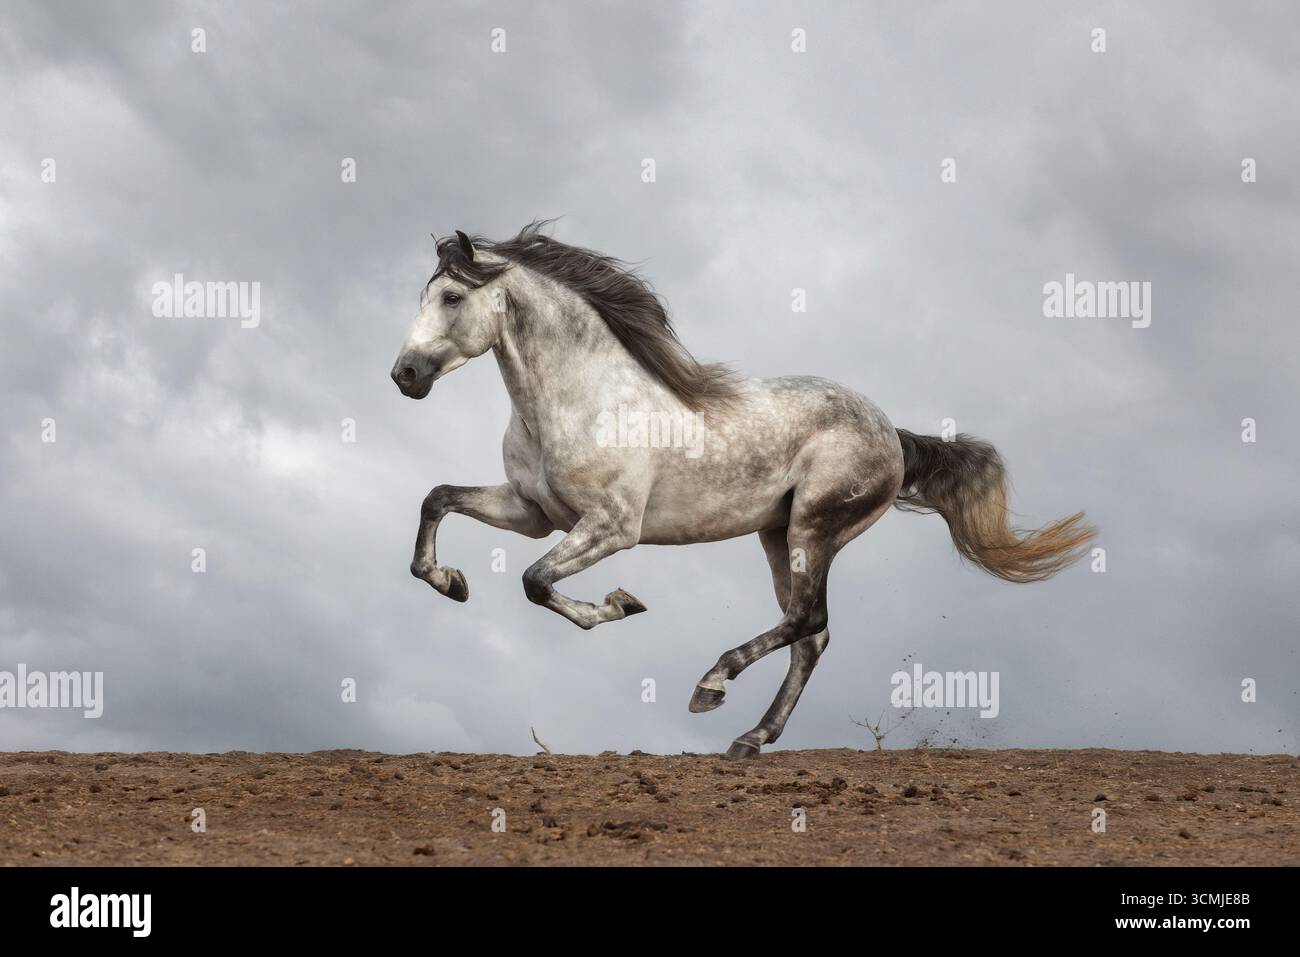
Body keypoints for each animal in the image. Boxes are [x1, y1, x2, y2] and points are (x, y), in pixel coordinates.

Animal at [391, 222, 1094, 759]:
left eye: (450, 296)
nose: (405, 375)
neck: (580, 399)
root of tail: (890, 433)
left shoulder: (612, 527)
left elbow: (536, 581)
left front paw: (620, 604)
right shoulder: (534, 512)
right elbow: (437, 498)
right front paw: (450, 581)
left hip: (815, 525)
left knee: (808, 619)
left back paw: (713, 685)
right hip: (777, 534)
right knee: (810, 634)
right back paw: (751, 737)